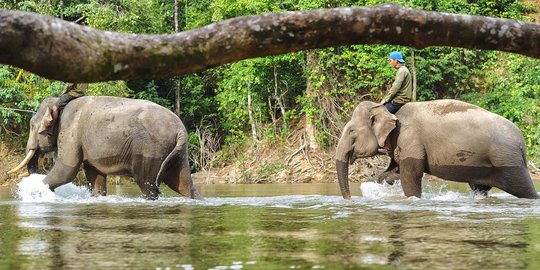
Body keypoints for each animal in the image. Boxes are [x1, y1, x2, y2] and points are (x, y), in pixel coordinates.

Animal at [7, 96, 202, 199]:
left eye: (32, 126)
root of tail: (180, 129)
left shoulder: (70, 131)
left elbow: (66, 170)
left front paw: (36, 191)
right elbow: (95, 177)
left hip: (151, 149)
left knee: (148, 185)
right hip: (176, 153)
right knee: (184, 184)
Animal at [336, 99, 536, 198]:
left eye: (352, 130)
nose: (350, 199)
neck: (389, 112)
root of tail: (522, 142)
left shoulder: (409, 138)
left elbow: (411, 175)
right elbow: (392, 172)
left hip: (508, 162)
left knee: (526, 190)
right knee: (480, 188)